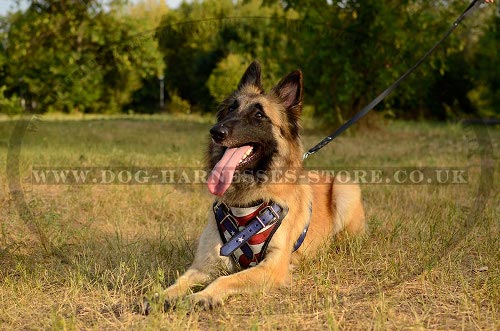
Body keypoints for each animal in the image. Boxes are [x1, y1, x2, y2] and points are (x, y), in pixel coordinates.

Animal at [150, 61, 366, 312]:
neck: (248, 200)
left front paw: (202, 296)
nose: (216, 131)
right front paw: (162, 296)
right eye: (230, 109)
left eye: (259, 115)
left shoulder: (272, 267)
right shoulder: (204, 264)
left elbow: (225, 279)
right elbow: (181, 280)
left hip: (345, 187)